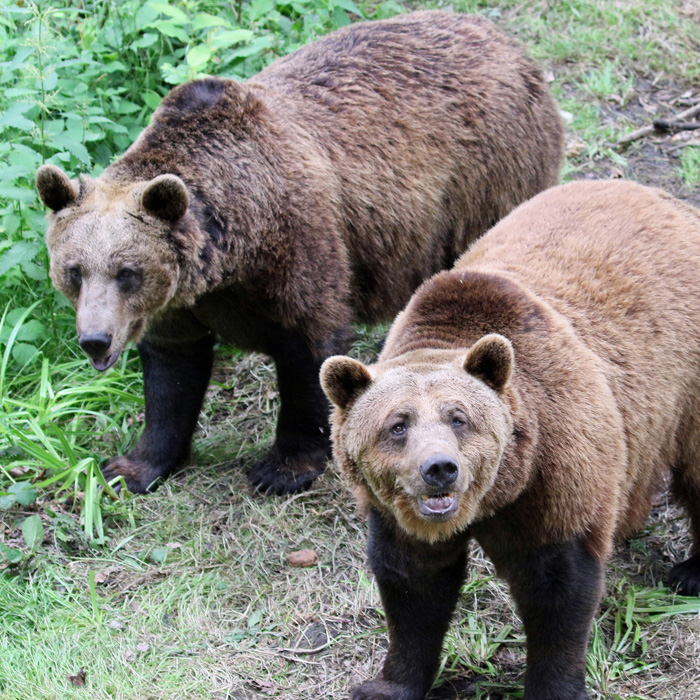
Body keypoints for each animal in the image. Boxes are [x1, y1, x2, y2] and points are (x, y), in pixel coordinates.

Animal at [35, 10, 563, 496]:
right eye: (73, 271)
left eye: (126, 271)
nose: (95, 340)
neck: (232, 253)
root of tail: (506, 42)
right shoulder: (178, 303)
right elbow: (172, 376)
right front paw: (131, 467)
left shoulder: (296, 249)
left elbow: (308, 351)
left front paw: (283, 468)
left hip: (487, 179)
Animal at [320, 180, 700, 700]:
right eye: (397, 425)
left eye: (459, 418)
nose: (439, 468)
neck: (495, 497)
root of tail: (668, 200)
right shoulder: (400, 515)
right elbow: (413, 586)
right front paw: (387, 684)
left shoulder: (554, 471)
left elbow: (557, 587)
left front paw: (554, 685)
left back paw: (692, 571)